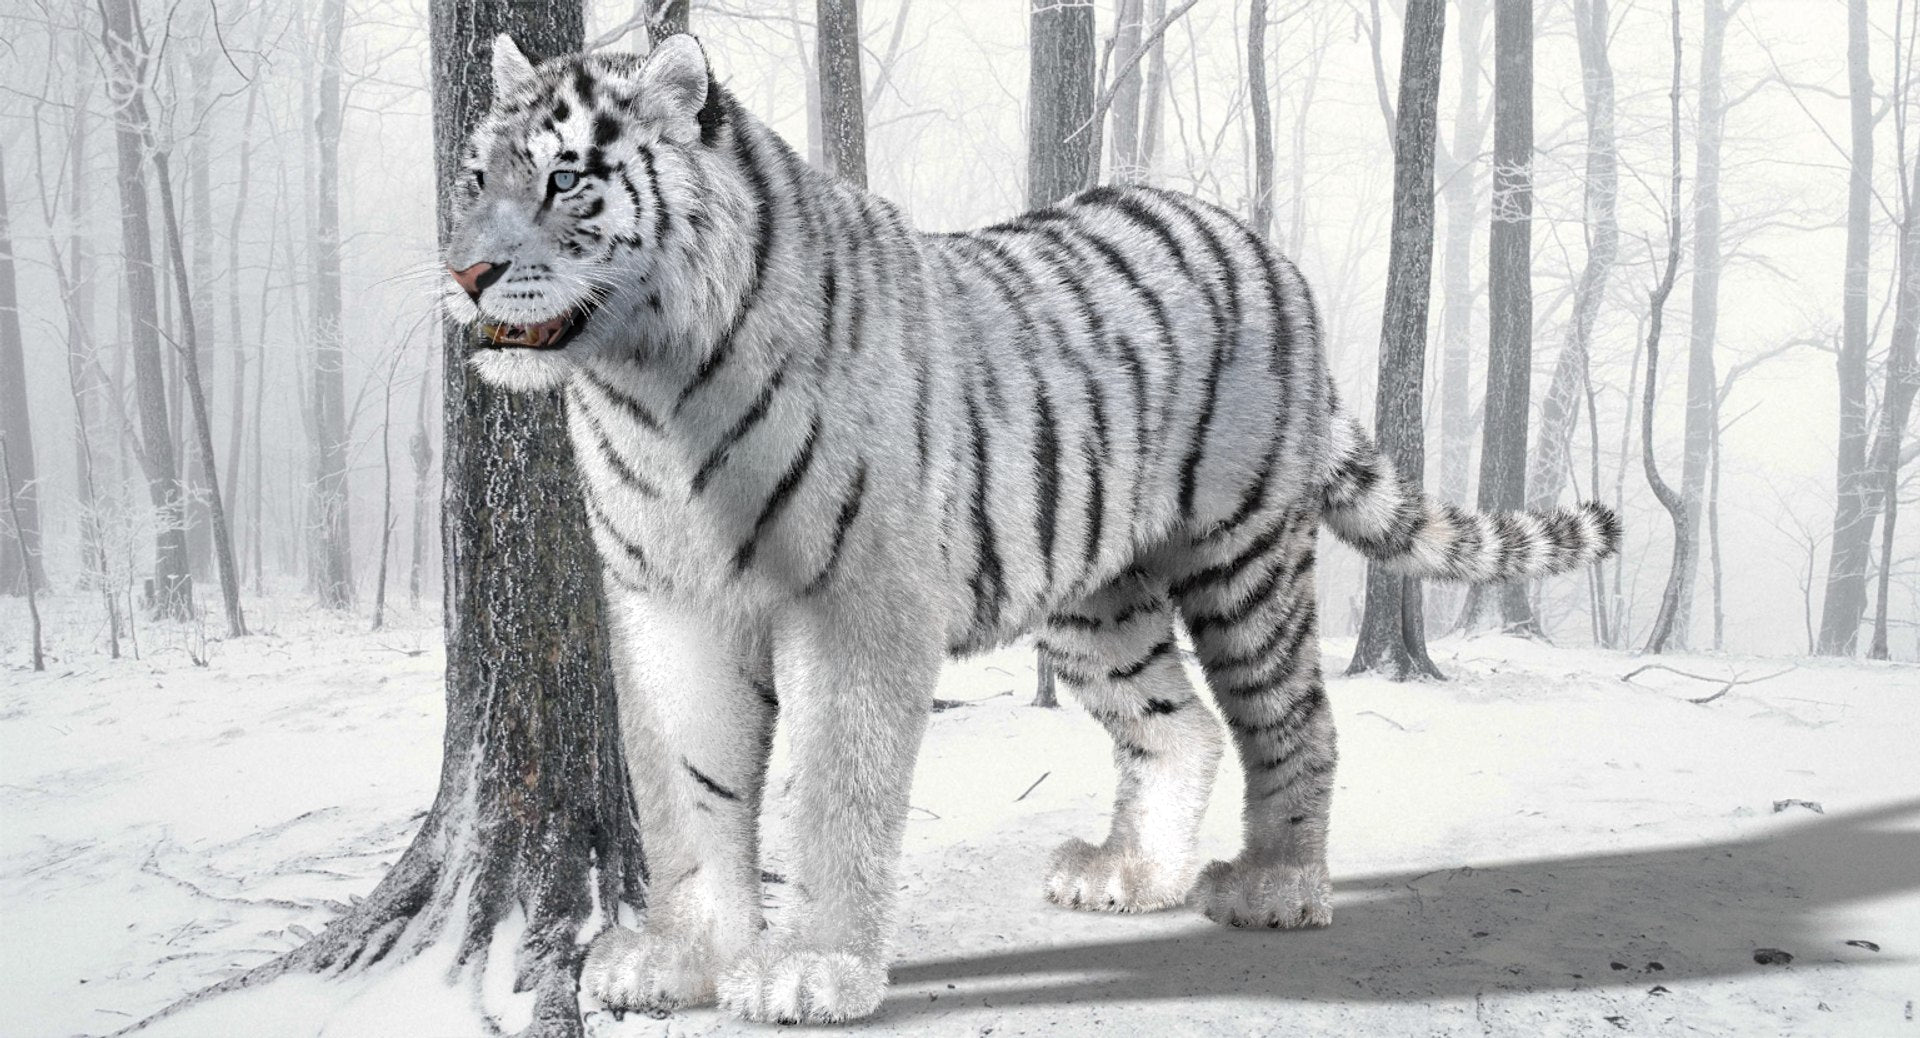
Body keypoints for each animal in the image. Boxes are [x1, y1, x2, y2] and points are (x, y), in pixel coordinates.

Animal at [441, 34, 1621, 1025]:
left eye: (564, 178)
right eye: (473, 178)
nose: (463, 273)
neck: (646, 389)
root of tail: (1264, 250)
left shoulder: (858, 599)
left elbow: (832, 788)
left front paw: (813, 970)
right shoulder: (668, 600)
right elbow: (684, 787)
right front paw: (678, 960)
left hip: (1242, 557)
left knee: (1293, 722)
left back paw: (1275, 887)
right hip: (1093, 599)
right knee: (1178, 726)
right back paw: (1129, 876)